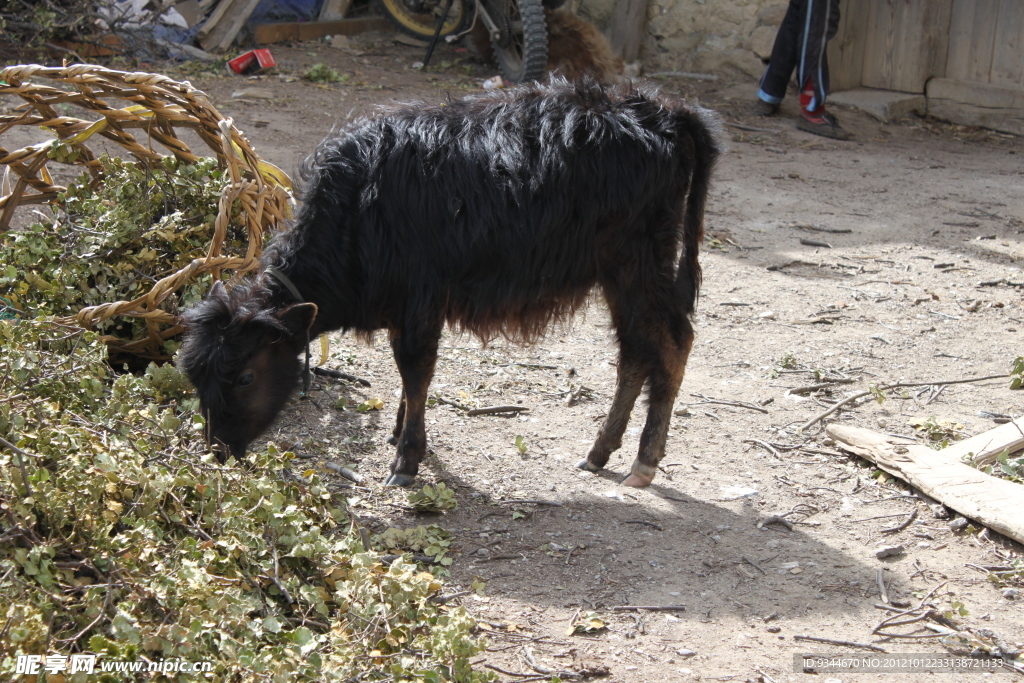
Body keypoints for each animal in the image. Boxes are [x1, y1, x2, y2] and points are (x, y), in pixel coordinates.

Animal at [178, 78, 720, 485]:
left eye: (245, 376)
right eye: (196, 375)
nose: (218, 449)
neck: (357, 210)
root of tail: (662, 110)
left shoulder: (422, 300)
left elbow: (416, 372)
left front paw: (406, 459)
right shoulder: (404, 308)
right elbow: (406, 377)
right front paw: (398, 433)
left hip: (640, 261)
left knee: (673, 340)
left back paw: (643, 462)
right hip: (618, 272)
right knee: (634, 350)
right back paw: (600, 451)